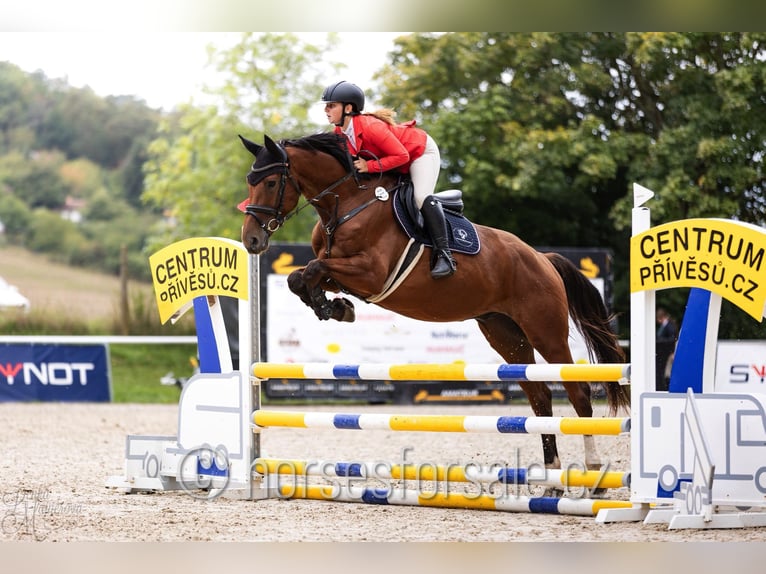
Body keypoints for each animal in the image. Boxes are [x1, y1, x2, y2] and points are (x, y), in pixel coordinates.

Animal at [238, 131, 630, 473]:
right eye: (249, 180)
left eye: (270, 183)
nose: (251, 240)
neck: (346, 204)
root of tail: (542, 258)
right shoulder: (344, 273)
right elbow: (300, 277)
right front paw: (333, 307)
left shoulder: (370, 274)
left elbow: (313, 269)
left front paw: (333, 307)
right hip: (505, 334)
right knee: (540, 397)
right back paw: (552, 474)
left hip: (545, 331)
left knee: (578, 392)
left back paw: (593, 472)